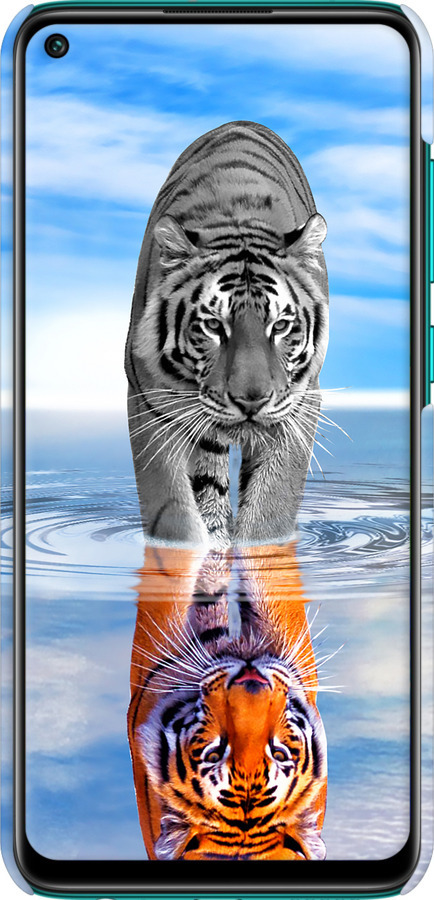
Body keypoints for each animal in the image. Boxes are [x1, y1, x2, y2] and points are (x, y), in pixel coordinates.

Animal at [125, 121, 329, 549]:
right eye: (213, 326)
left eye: (280, 326)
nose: (251, 401)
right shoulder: (149, 401)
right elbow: (173, 512)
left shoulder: (300, 404)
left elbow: (271, 509)